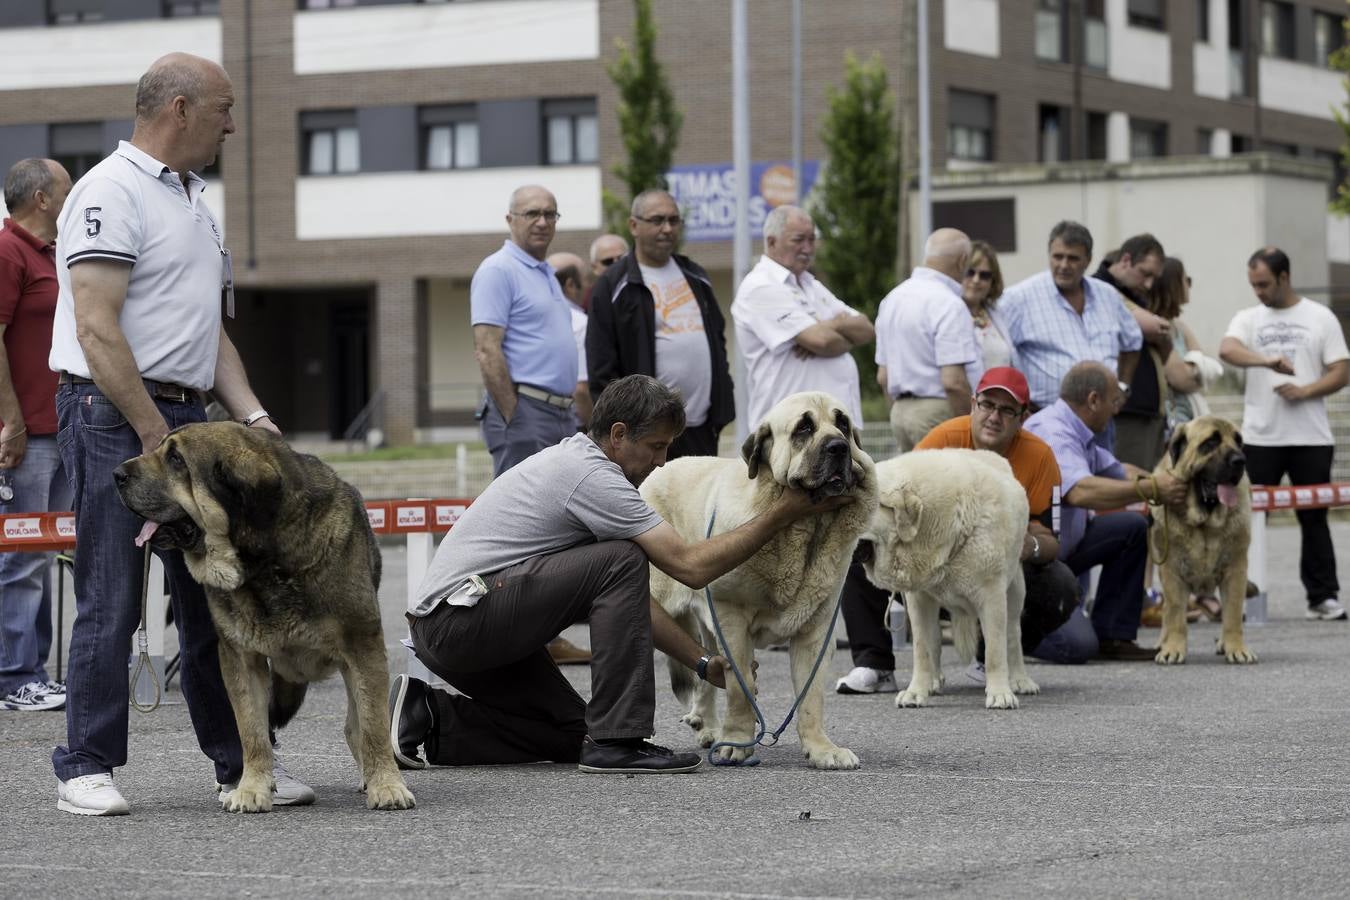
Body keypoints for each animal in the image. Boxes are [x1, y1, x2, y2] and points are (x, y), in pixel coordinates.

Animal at [114, 426, 413, 814]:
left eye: (176, 459)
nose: (116, 475)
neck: (263, 560)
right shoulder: (241, 659)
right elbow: (252, 733)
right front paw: (252, 789)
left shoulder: (364, 647)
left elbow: (375, 726)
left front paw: (387, 786)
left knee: (356, 725)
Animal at [639, 391, 880, 771]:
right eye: (804, 428)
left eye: (842, 423)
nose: (839, 447)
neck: (803, 530)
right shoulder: (732, 620)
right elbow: (739, 687)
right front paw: (737, 742)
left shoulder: (816, 632)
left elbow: (811, 697)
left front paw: (821, 749)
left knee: (705, 666)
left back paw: (708, 727)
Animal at [858, 450, 1036, 712]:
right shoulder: (918, 600)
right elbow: (922, 649)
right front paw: (916, 693)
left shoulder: (992, 597)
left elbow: (995, 651)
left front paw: (1000, 694)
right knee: (935, 641)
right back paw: (933, 682)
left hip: (1015, 589)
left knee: (1013, 635)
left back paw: (1020, 680)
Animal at [1150, 418, 1252, 666]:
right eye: (1211, 442)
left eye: (1239, 441)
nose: (1240, 460)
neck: (1204, 522)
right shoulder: (1171, 572)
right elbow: (1175, 614)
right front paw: (1172, 649)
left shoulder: (1236, 570)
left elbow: (1233, 614)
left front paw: (1236, 648)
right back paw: (1161, 642)